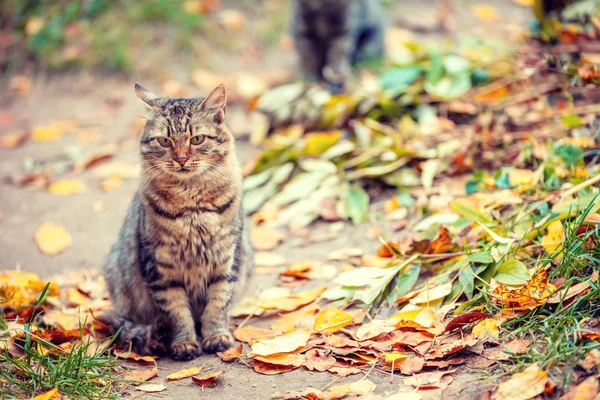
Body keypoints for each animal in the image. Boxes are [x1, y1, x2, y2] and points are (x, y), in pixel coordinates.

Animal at [99, 83, 253, 360]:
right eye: (164, 141)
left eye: (197, 139)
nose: (181, 159)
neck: (192, 206)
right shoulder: (161, 269)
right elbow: (177, 313)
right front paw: (185, 344)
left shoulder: (226, 261)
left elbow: (217, 305)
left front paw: (217, 337)